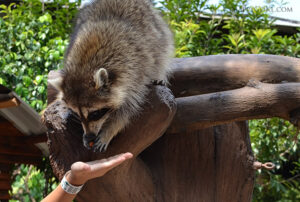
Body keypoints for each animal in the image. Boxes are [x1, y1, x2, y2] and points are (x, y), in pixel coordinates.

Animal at [48, 0, 175, 152]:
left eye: (95, 114)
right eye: (78, 115)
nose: (89, 136)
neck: (85, 66)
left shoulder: (135, 72)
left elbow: (128, 107)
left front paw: (110, 130)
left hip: (157, 29)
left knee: (161, 51)